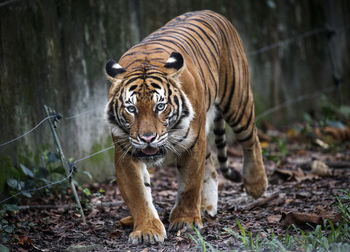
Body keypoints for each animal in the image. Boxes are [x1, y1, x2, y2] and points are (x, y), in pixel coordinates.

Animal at [105, 10, 266, 244]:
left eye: (160, 106)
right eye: (131, 108)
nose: (147, 138)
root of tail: (210, 12)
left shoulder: (193, 143)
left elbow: (190, 185)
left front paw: (185, 221)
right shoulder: (125, 152)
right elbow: (138, 194)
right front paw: (147, 230)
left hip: (237, 100)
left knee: (251, 139)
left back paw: (256, 185)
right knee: (212, 166)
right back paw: (207, 207)